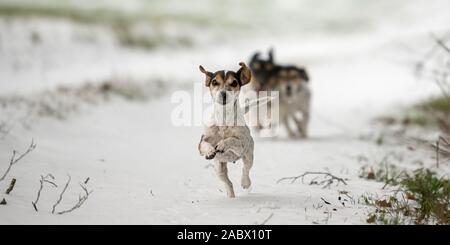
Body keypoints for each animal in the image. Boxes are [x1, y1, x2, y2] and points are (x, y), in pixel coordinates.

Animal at [197, 62, 253, 198]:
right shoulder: (200, 144)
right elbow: (205, 144)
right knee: (228, 183)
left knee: (246, 169)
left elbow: (232, 139)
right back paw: (231, 196)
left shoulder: (242, 145)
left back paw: (245, 183)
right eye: (214, 82)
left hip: (248, 155)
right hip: (219, 168)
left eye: (234, 82)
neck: (223, 119)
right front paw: (210, 150)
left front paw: (222, 144)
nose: (223, 94)